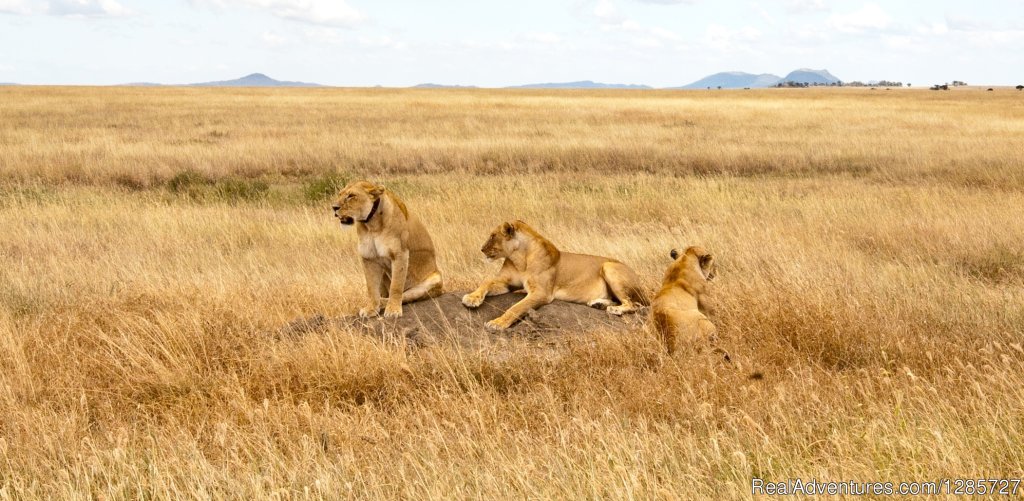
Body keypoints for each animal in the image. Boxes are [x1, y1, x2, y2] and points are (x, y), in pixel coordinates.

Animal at [329, 180, 438, 315]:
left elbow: (396, 286)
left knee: (405, 295)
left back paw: (384, 303)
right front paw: (371, 309)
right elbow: (371, 287)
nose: (334, 207)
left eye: (351, 196)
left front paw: (393, 310)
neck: (372, 225)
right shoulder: (368, 258)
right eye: (340, 194)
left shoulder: (400, 254)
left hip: (432, 281)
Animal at [464, 219, 647, 329]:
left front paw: (497, 323)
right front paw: (471, 298)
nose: (481, 249)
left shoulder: (541, 293)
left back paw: (615, 310)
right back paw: (599, 304)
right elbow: (487, 281)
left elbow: (516, 307)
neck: (519, 258)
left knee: (635, 304)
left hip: (609, 266)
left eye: (492, 236)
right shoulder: (507, 282)